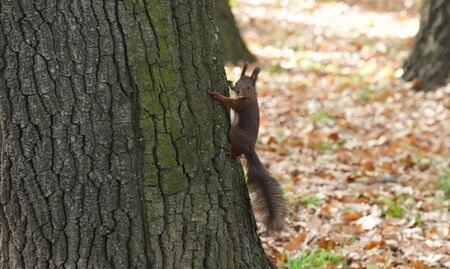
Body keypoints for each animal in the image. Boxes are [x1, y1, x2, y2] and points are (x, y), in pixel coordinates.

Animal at [209, 63, 286, 234]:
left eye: (249, 87)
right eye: (239, 82)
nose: (238, 90)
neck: (250, 96)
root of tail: (250, 149)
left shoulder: (242, 104)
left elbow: (230, 102)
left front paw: (217, 95)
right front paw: (229, 83)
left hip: (235, 132)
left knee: (237, 149)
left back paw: (231, 151)